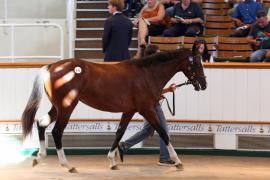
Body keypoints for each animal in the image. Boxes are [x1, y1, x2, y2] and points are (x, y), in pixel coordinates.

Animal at [21, 47, 207, 172]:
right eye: (196, 63)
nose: (203, 84)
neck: (146, 74)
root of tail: (53, 66)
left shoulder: (129, 110)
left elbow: (119, 132)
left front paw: (112, 160)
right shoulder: (147, 109)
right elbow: (162, 132)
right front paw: (178, 161)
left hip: (57, 107)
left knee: (41, 123)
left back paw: (39, 157)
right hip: (67, 106)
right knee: (56, 131)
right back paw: (67, 165)